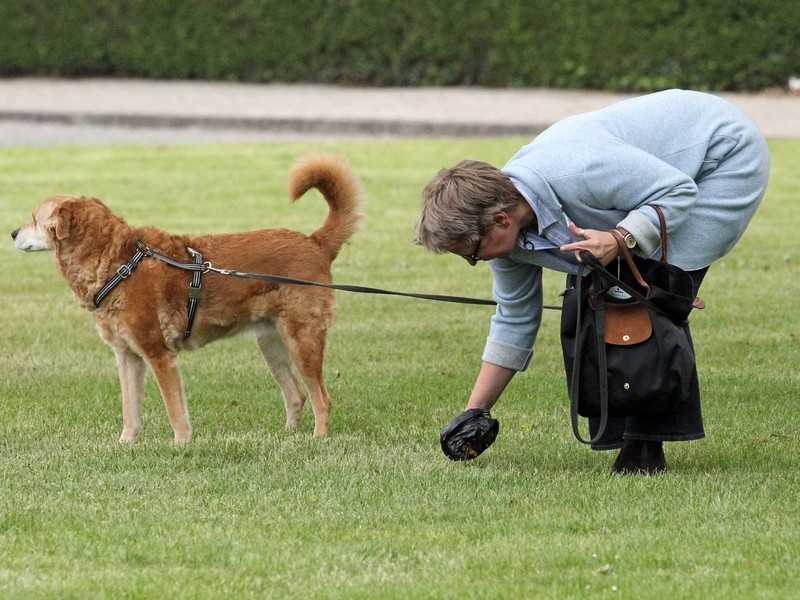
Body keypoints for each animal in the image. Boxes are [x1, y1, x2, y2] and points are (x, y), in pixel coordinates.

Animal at [11, 154, 362, 446]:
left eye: (34, 218)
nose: (13, 233)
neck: (119, 263)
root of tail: (314, 243)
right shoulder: (127, 356)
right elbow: (130, 408)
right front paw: (125, 444)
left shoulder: (158, 354)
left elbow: (174, 409)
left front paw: (181, 444)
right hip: (271, 344)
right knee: (296, 395)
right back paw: (287, 437)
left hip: (302, 340)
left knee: (321, 398)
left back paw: (318, 439)